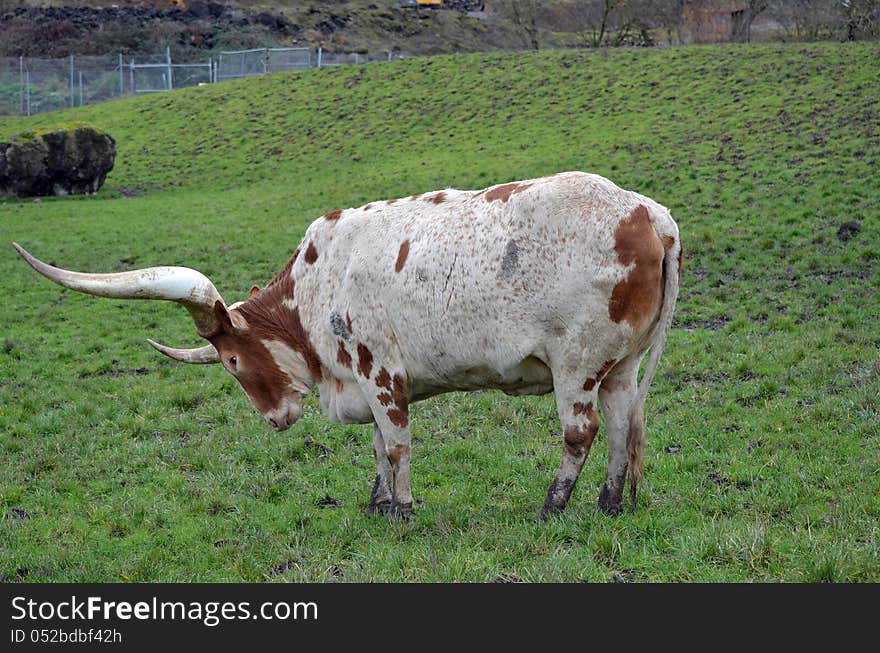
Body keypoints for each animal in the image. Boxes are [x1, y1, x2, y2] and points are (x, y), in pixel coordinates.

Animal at [13, 172, 680, 520]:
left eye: (232, 360)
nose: (276, 420)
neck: (316, 284)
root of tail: (650, 214)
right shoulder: (362, 379)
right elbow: (379, 446)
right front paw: (377, 505)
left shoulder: (381, 372)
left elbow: (397, 444)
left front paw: (403, 509)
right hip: (619, 366)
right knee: (623, 428)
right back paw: (610, 504)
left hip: (577, 363)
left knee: (580, 432)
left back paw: (551, 507)